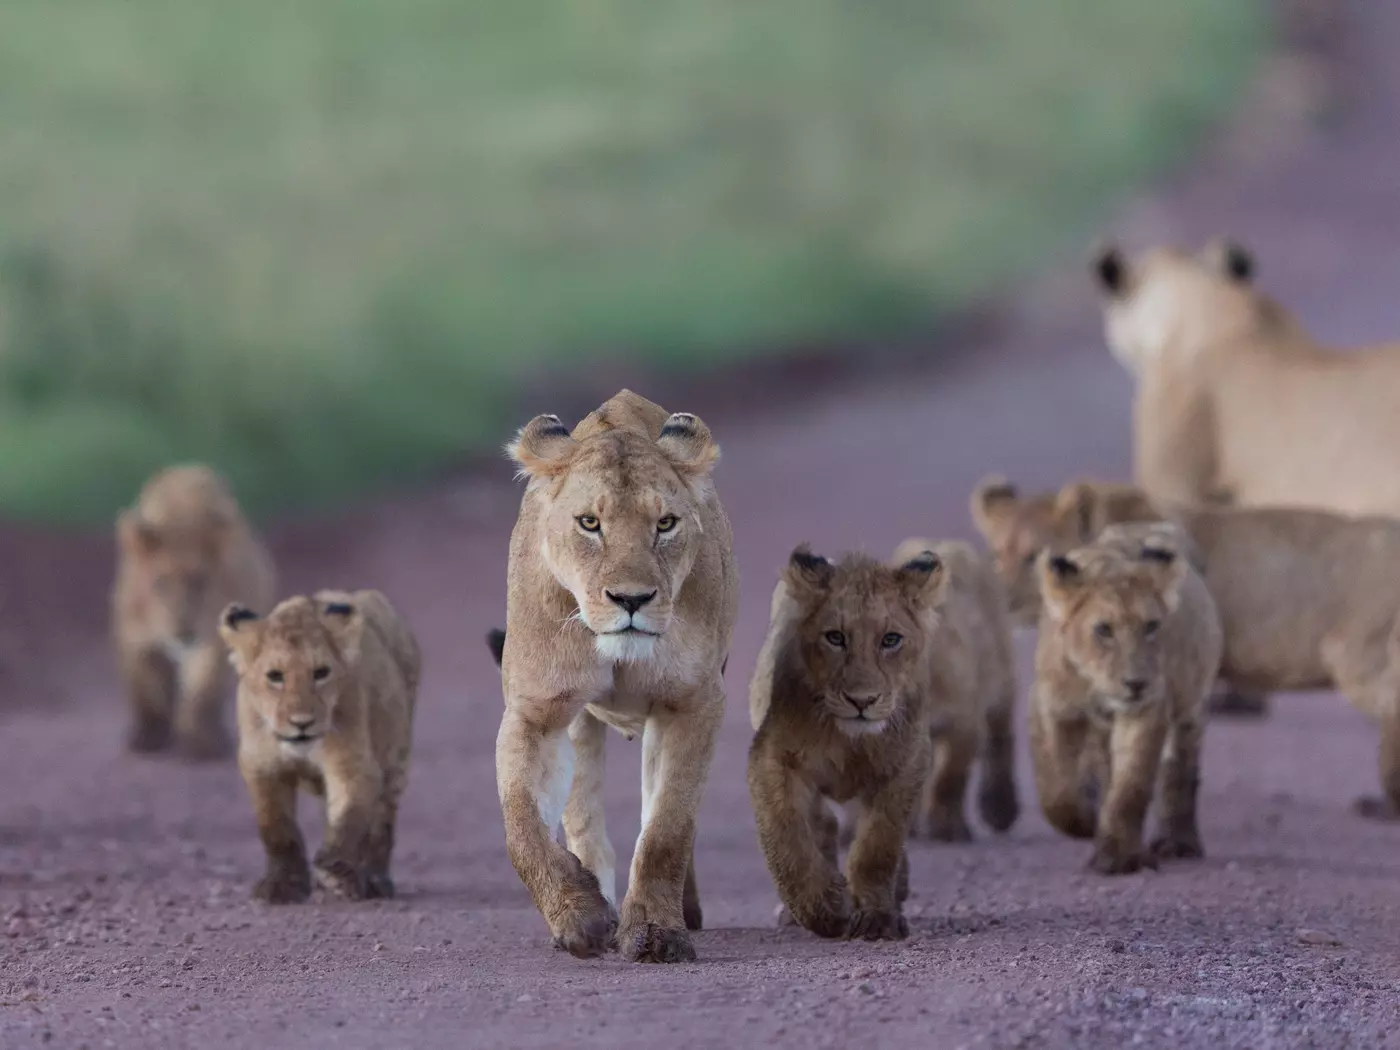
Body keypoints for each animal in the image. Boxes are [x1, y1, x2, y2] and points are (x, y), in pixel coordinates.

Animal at [111, 464, 276, 758]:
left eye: (200, 581)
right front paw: (148, 737)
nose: (183, 633)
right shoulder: (136, 637)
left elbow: (203, 691)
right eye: (161, 583)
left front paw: (201, 742)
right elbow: (148, 689)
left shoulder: (213, 642)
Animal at [219, 589, 421, 903]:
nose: (302, 723)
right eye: (275, 676)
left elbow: (349, 816)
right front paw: (282, 885)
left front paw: (335, 867)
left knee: (381, 826)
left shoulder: (354, 765)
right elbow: (277, 828)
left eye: (321, 672)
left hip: (396, 762)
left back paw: (373, 881)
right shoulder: (262, 767)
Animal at [491, 390, 737, 963]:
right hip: (581, 724)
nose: (631, 599)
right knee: (582, 814)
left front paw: (654, 932)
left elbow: (667, 828)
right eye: (589, 523)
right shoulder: (535, 713)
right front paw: (578, 916)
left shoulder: (693, 703)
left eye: (665, 524)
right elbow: (522, 825)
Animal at [746, 546, 947, 941]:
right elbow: (786, 837)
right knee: (822, 826)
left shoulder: (908, 763)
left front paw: (877, 916)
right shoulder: (771, 757)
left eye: (890, 640)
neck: (850, 742)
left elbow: (878, 846)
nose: (862, 701)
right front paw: (823, 910)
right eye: (835, 638)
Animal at [1031, 524, 1222, 874]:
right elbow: (1058, 787)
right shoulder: (1055, 707)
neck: (1095, 684)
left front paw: (1117, 857)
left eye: (1151, 626)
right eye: (1104, 629)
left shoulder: (1147, 710)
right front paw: (1084, 823)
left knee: (1180, 771)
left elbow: (1130, 785)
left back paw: (1179, 843)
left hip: (1191, 705)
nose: (1136, 684)